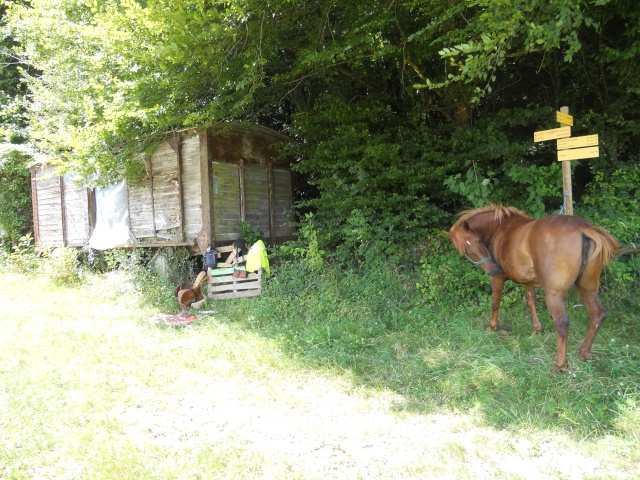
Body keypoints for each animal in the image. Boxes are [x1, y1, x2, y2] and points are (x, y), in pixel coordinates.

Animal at [448, 204, 616, 374]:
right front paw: (537, 330)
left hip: (554, 295)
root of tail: (583, 228)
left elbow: (495, 302)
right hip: (587, 289)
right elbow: (531, 302)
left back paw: (560, 364)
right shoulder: (528, 281)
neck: (500, 228)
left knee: (562, 323)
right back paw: (584, 353)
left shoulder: (497, 279)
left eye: (477, 241)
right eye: (465, 250)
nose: (493, 269)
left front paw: (492, 327)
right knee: (597, 315)